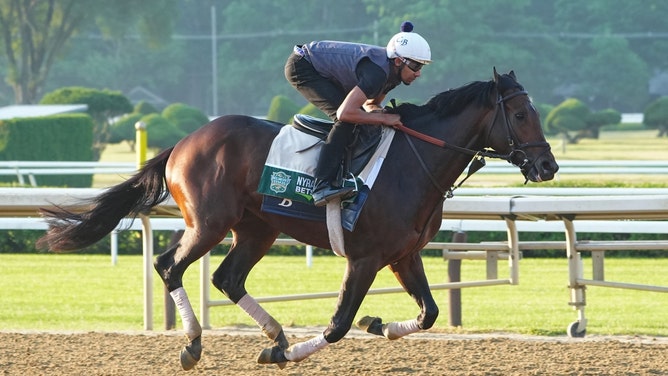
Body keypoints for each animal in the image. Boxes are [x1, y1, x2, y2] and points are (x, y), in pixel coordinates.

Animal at [36, 68, 560, 370]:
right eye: (519, 113)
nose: (548, 165)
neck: (414, 162)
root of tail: (184, 141)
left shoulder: (404, 255)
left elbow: (428, 313)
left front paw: (379, 325)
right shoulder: (364, 258)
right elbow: (339, 324)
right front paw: (287, 353)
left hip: (257, 228)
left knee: (227, 278)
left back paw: (272, 332)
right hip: (208, 223)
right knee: (170, 265)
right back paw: (195, 344)